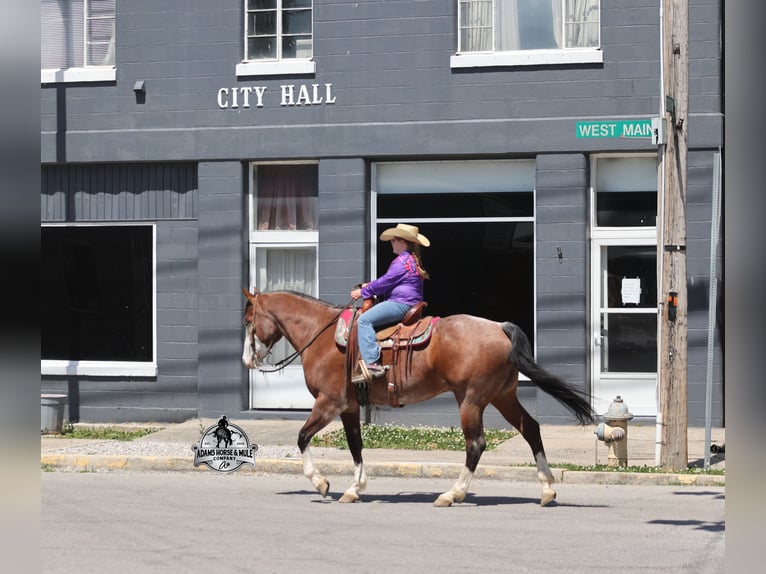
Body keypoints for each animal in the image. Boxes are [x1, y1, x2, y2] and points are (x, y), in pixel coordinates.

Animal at [241, 288, 596, 507]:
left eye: (248, 321)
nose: (247, 360)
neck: (324, 337)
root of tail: (498, 327)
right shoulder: (349, 407)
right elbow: (356, 446)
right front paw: (355, 489)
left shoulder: (329, 402)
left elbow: (302, 437)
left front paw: (321, 483)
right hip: (503, 396)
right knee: (530, 429)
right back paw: (547, 489)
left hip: (471, 400)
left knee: (476, 444)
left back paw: (452, 494)